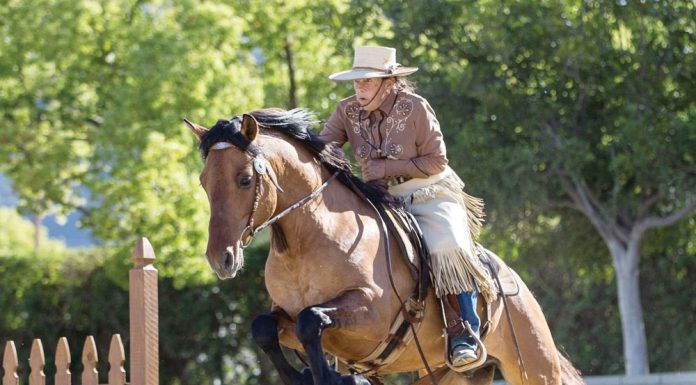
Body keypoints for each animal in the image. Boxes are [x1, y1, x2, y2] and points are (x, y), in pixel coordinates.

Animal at [185, 108, 580, 384]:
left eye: (244, 179)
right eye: (203, 182)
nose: (220, 259)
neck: (306, 244)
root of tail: (516, 284)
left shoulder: (370, 313)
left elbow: (311, 321)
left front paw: (335, 377)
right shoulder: (286, 316)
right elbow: (265, 328)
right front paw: (309, 375)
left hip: (533, 367)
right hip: (450, 376)